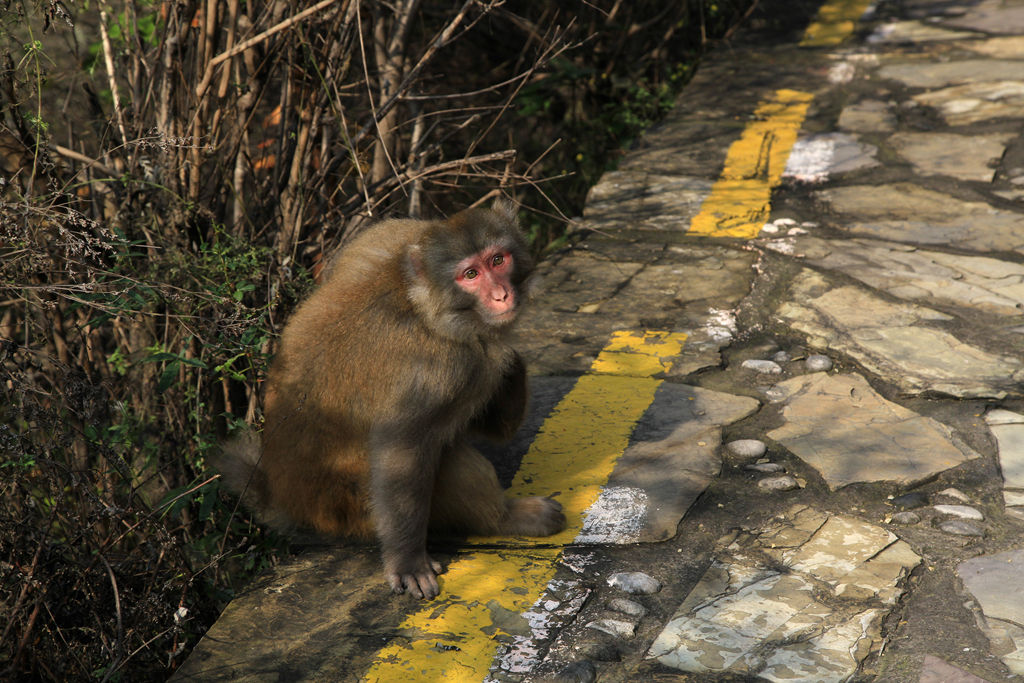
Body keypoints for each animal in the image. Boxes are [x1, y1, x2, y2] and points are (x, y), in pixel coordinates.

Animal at [220, 196, 569, 598]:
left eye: (498, 260)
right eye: (470, 275)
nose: (501, 295)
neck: (425, 305)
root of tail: (289, 503)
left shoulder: (382, 235)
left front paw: (510, 361)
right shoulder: (435, 371)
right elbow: (400, 451)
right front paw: (407, 562)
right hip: (353, 510)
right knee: (445, 462)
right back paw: (505, 518)